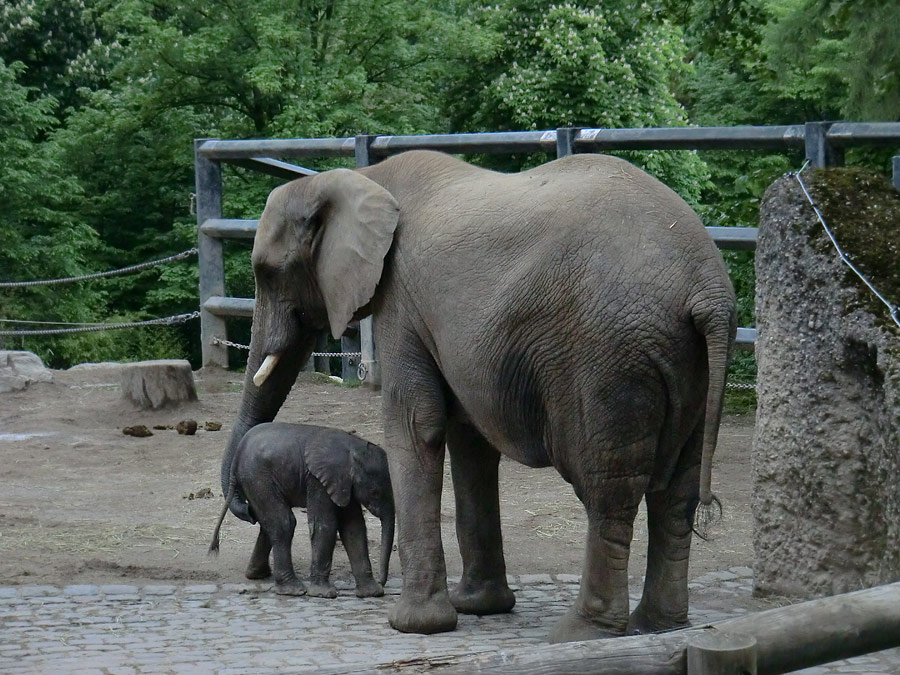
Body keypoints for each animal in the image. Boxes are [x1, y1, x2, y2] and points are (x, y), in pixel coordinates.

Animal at [213, 426, 396, 600]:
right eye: (375, 493)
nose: (383, 581)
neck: (353, 448)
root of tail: (238, 452)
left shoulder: (342, 484)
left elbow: (353, 527)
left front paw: (372, 593)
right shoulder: (319, 480)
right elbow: (325, 526)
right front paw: (324, 594)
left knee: (269, 522)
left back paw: (258, 574)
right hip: (257, 478)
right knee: (284, 523)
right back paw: (294, 590)